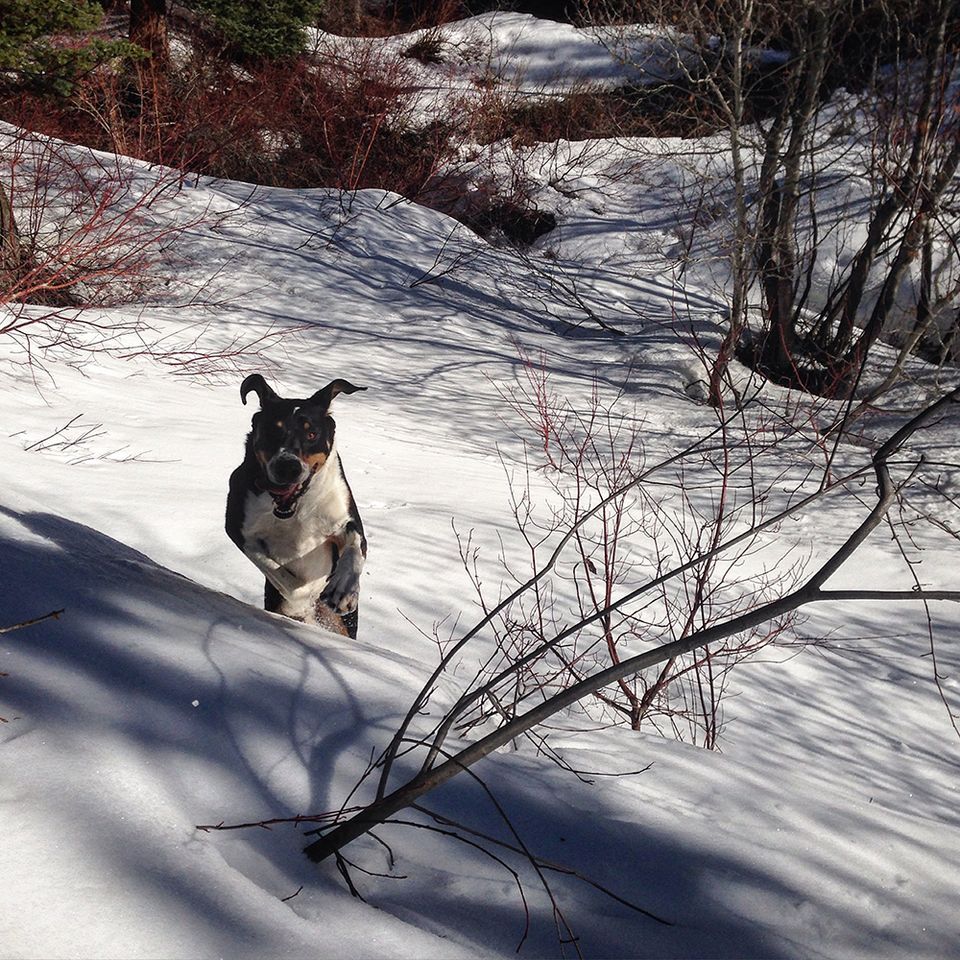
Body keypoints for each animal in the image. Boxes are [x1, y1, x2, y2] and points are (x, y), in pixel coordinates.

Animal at [225, 374, 368, 636]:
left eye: (311, 434)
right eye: (272, 430)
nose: (287, 466)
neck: (297, 507)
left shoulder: (344, 519)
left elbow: (354, 546)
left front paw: (343, 590)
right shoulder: (241, 532)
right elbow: (285, 581)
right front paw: (304, 596)